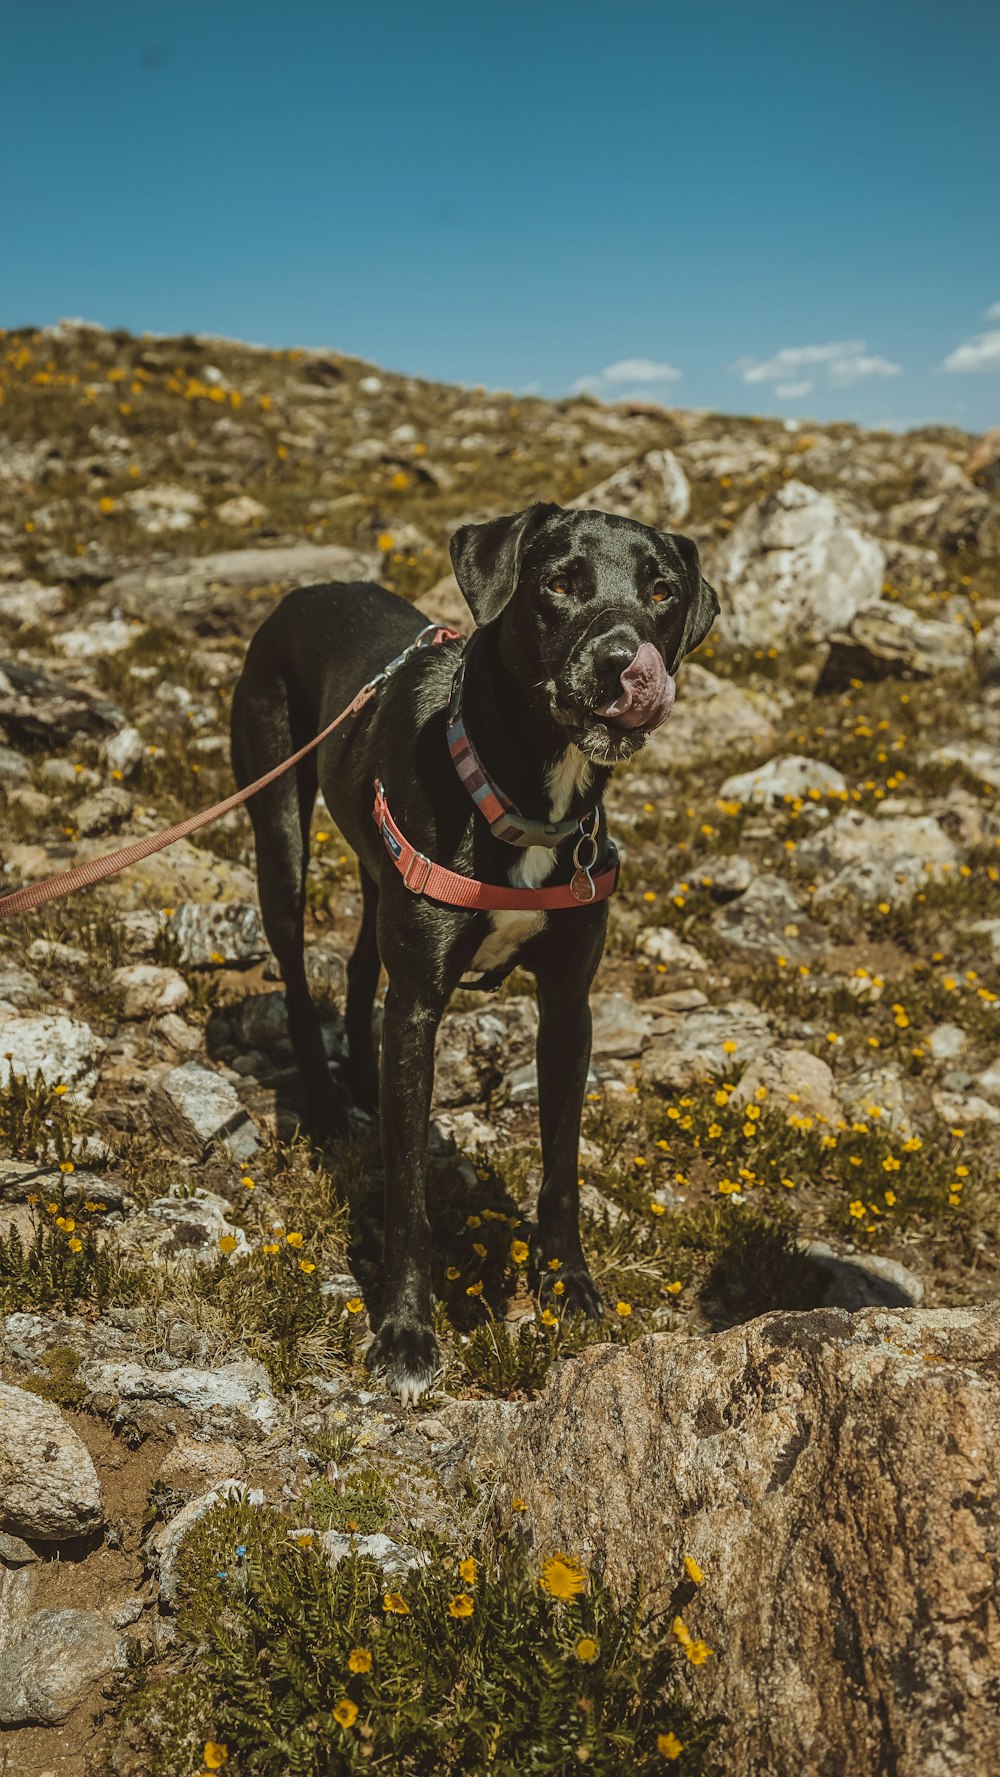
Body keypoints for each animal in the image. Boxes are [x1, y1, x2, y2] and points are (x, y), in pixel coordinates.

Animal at [232, 504, 721, 1400]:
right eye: (559, 581)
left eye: (663, 591)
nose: (622, 662)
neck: (526, 795)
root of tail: (304, 590)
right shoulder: (424, 999)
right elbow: (409, 1198)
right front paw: (404, 1333)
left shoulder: (567, 1006)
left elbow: (560, 1169)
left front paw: (569, 1284)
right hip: (276, 817)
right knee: (296, 961)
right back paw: (328, 1106)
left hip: (378, 864)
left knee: (363, 965)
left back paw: (362, 1080)